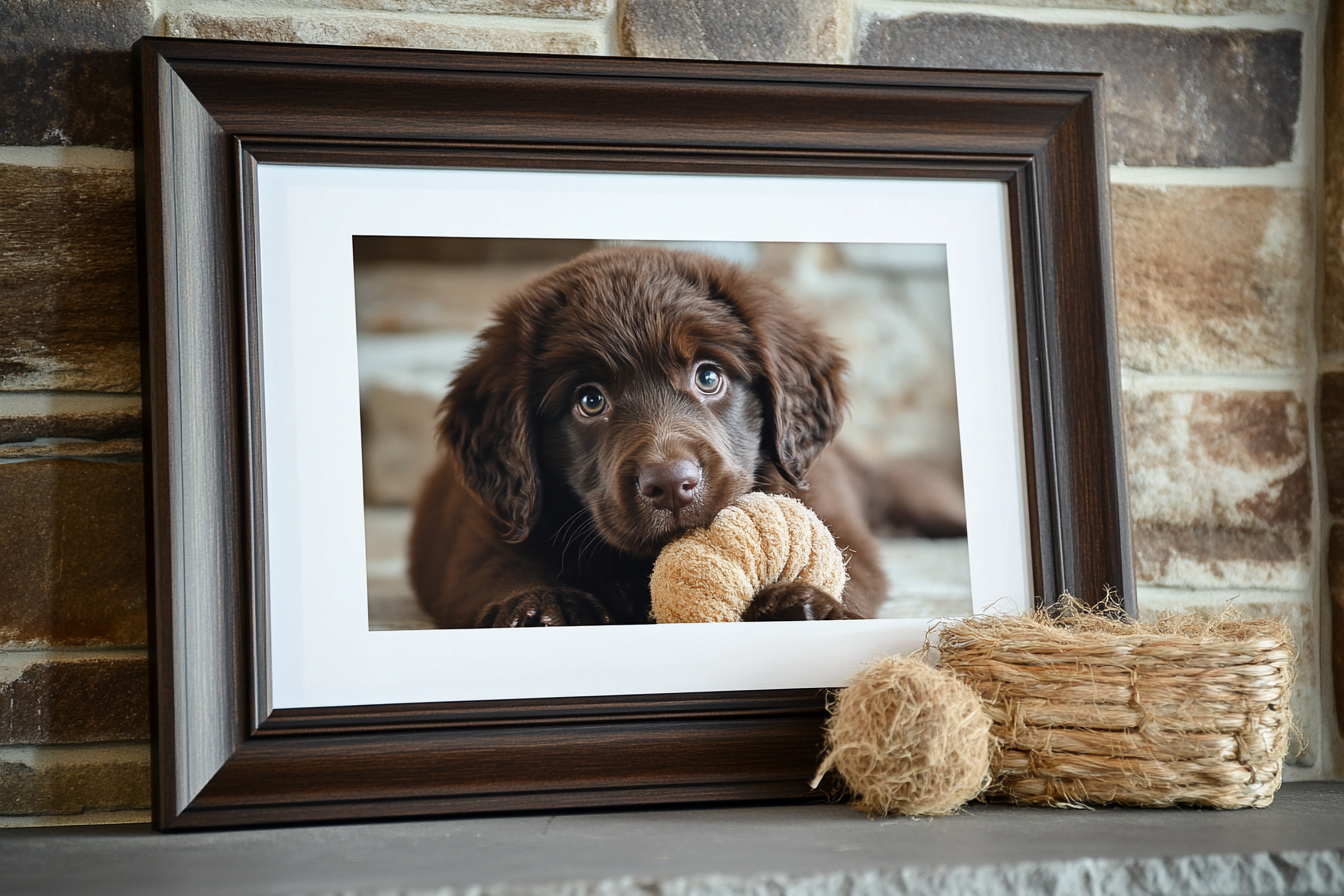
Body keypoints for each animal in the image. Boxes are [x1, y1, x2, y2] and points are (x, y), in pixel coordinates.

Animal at [413, 243, 951, 623]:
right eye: (590, 401)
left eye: (708, 376)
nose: (671, 484)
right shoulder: (480, 535)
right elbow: (498, 572)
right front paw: (542, 608)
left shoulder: (833, 517)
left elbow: (848, 573)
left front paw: (801, 605)